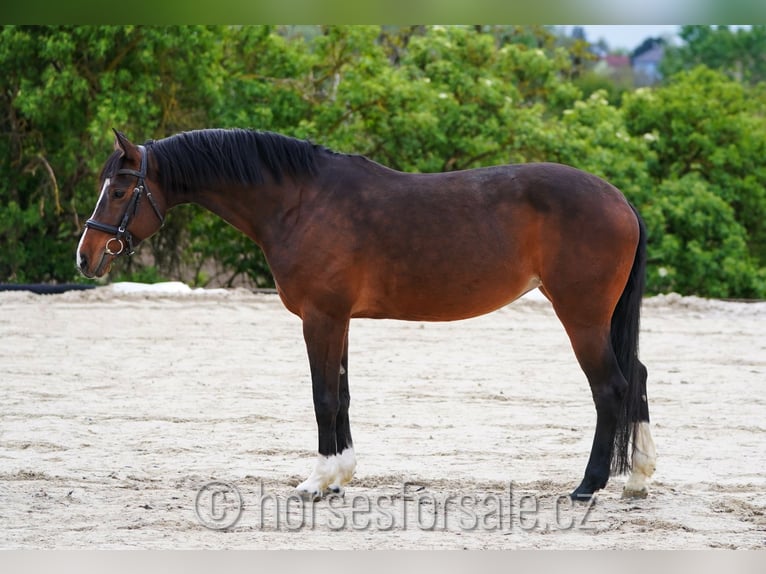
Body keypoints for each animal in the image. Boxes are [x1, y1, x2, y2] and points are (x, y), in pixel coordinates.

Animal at [76, 128, 660, 502]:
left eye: (121, 190)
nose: (85, 256)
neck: (301, 201)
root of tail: (621, 201)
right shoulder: (341, 321)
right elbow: (343, 396)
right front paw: (341, 476)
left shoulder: (321, 318)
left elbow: (323, 397)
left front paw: (316, 482)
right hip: (601, 320)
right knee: (637, 378)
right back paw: (637, 479)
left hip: (582, 318)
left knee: (610, 387)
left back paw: (588, 486)